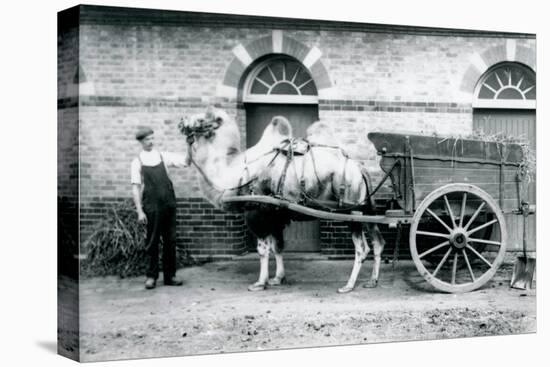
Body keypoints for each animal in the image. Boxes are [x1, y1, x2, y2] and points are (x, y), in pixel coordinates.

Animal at [179, 105, 386, 294]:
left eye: (201, 120)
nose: (181, 122)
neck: (234, 171)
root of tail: (360, 169)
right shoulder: (275, 213)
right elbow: (278, 246)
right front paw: (277, 278)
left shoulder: (257, 210)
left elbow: (263, 249)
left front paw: (259, 283)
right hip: (365, 209)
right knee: (378, 242)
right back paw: (372, 281)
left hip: (351, 209)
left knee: (362, 248)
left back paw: (348, 285)